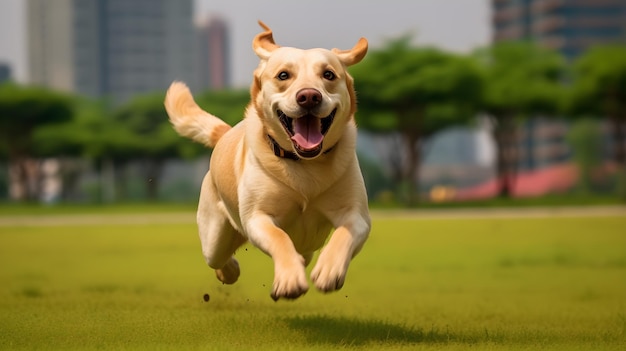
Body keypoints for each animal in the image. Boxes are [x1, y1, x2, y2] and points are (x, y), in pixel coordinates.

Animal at [165, 22, 370, 302]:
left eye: (328, 75)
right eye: (283, 75)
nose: (309, 96)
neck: (304, 163)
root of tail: (225, 133)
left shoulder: (358, 216)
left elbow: (344, 234)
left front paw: (329, 270)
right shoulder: (257, 218)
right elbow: (279, 236)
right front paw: (289, 280)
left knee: (304, 253)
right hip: (213, 235)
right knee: (218, 258)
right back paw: (229, 271)